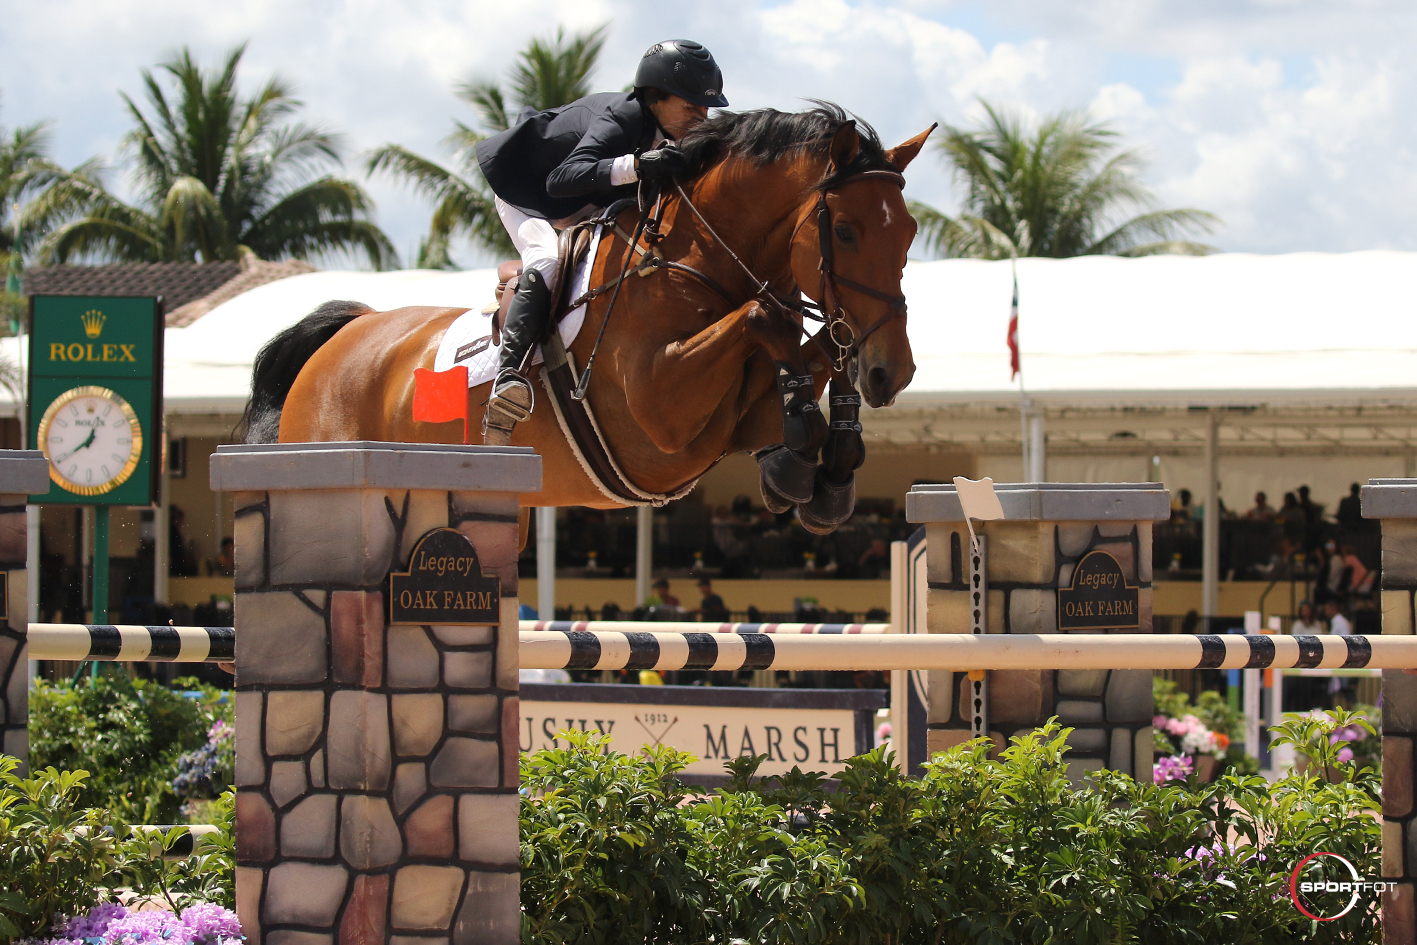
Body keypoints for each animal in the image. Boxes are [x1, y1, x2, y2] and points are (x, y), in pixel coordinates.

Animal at [243, 106, 929, 535]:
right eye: (846, 230)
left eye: (911, 232)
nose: (892, 373)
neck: (697, 255)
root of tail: (344, 335)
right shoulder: (662, 414)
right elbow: (768, 320)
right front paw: (806, 448)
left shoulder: (737, 413)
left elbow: (811, 355)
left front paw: (826, 467)